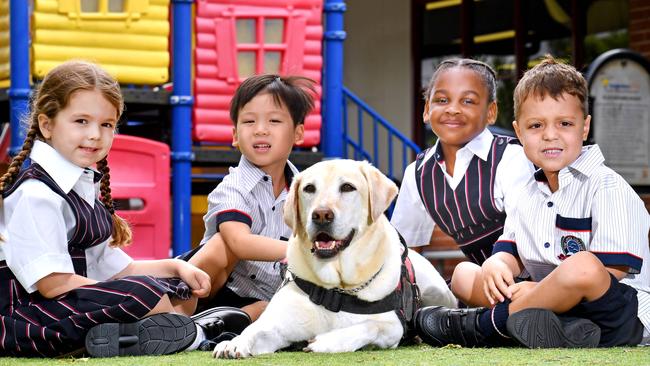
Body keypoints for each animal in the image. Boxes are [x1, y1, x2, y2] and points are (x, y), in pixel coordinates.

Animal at [211, 159, 450, 358]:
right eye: (309, 188)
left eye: (347, 187)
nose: (321, 215)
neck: (336, 289)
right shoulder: (276, 324)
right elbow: (254, 328)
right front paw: (234, 342)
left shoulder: (392, 326)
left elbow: (370, 326)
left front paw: (327, 342)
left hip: (438, 292)